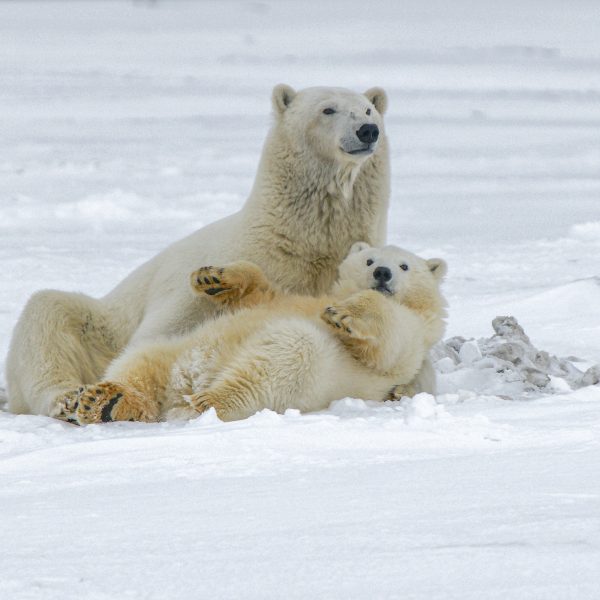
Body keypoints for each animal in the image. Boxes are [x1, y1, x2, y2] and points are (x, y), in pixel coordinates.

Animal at [7, 85, 396, 418]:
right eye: (327, 109)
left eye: (369, 109)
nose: (367, 131)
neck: (296, 242)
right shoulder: (199, 287)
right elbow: (160, 334)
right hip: (101, 327)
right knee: (47, 313)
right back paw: (66, 397)